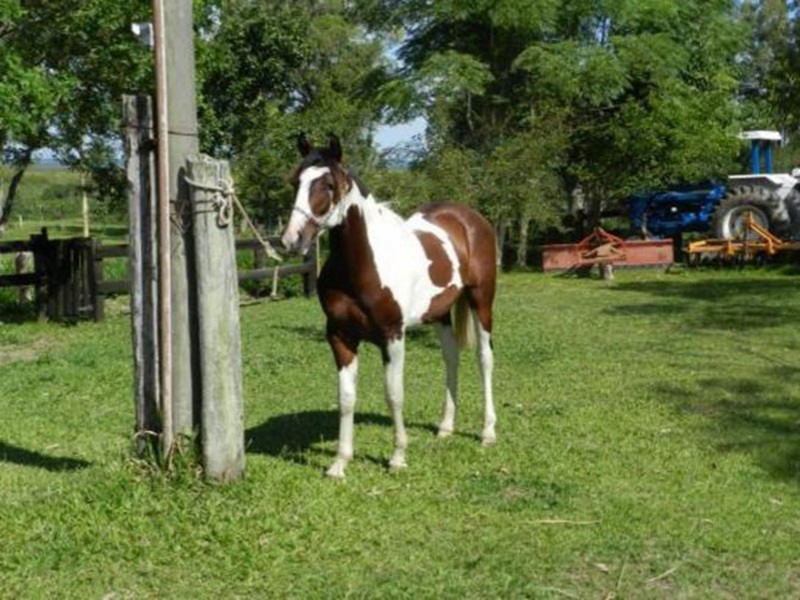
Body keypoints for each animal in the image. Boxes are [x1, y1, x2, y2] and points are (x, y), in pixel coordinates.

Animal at [281, 134, 497, 478]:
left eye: (329, 184)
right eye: (295, 181)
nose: (293, 239)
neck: (362, 264)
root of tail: (470, 218)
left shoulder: (392, 336)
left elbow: (394, 395)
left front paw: (397, 457)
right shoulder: (340, 337)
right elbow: (346, 398)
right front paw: (340, 462)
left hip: (481, 301)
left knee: (484, 359)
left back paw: (488, 432)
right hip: (440, 313)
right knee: (451, 358)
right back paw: (445, 427)